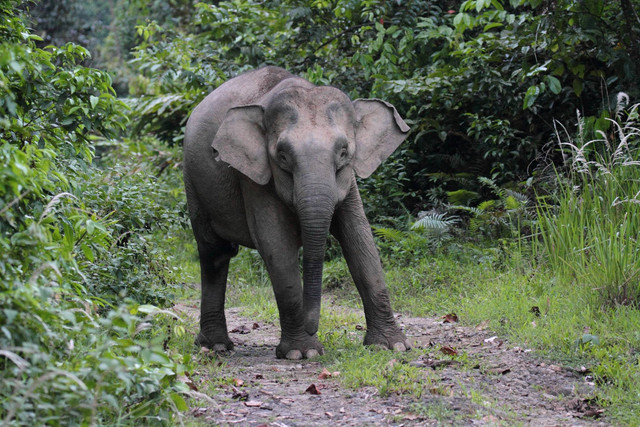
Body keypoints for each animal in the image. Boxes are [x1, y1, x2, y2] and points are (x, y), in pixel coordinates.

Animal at [181, 66, 410, 362]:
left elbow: (360, 238)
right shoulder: (254, 178)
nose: (314, 327)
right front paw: (303, 353)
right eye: (282, 156)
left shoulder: (348, 183)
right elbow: (276, 244)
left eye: (344, 152)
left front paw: (390, 346)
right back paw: (216, 347)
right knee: (214, 253)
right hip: (192, 182)